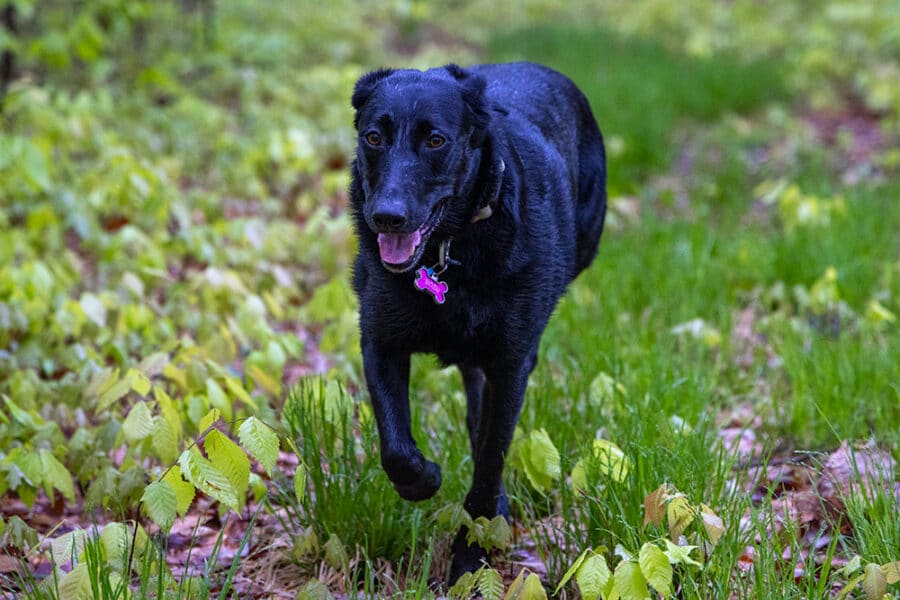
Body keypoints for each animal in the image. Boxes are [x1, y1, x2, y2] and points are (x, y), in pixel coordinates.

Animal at [348, 62, 608, 580]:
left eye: (435, 140)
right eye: (373, 137)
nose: (386, 216)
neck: (449, 251)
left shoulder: (512, 362)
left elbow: (491, 457)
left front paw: (471, 553)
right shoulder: (380, 341)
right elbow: (396, 448)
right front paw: (423, 480)